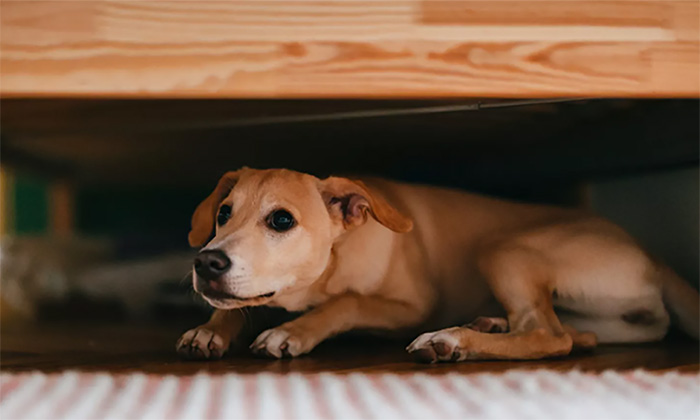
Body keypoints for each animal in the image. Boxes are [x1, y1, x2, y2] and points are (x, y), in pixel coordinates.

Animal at [174, 167, 696, 360]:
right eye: (223, 214)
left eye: (281, 220)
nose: (206, 263)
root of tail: (653, 257)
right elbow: (237, 305)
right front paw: (210, 329)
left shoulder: (412, 306)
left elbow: (346, 304)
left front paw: (293, 331)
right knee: (575, 334)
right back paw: (486, 325)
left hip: (504, 248)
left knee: (551, 336)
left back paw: (454, 340)